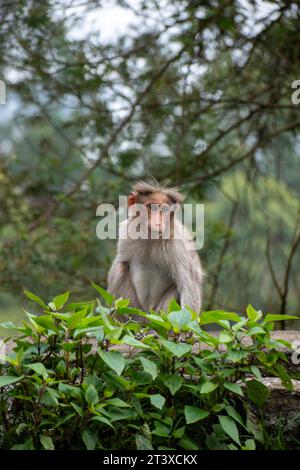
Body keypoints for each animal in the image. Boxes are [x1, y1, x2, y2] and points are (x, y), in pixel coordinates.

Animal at [106, 180, 203, 316]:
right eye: (151, 207)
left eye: (164, 210)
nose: (158, 223)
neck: (151, 238)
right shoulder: (126, 233)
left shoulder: (178, 244)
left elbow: (188, 287)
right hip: (136, 311)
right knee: (120, 268)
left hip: (158, 315)